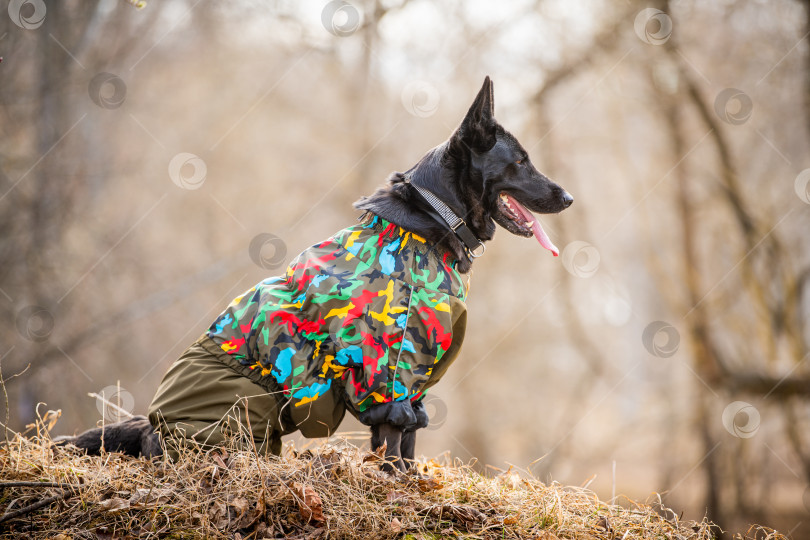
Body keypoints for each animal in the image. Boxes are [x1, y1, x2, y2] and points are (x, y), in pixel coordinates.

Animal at [60, 77, 572, 472]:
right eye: (521, 160)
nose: (568, 198)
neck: (432, 220)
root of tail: (151, 425)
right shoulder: (389, 369)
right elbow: (396, 435)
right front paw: (396, 487)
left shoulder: (414, 377)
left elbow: (406, 441)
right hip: (238, 415)